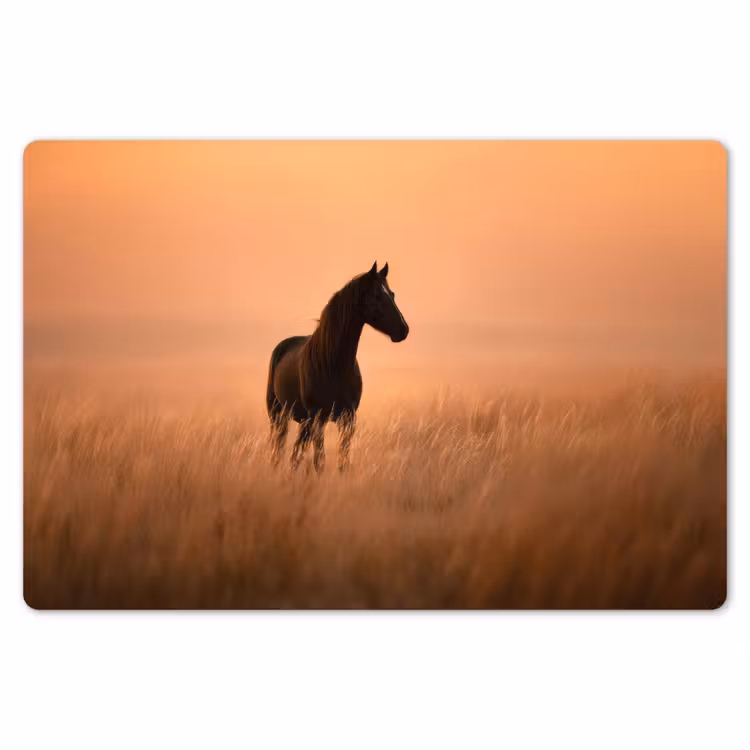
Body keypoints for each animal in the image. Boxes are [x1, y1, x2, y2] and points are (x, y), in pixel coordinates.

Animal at [266, 261, 409, 472]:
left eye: (392, 294)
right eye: (376, 295)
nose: (403, 330)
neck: (334, 364)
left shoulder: (347, 419)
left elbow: (343, 461)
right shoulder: (319, 418)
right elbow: (319, 461)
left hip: (303, 421)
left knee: (295, 454)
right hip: (279, 416)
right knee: (280, 450)